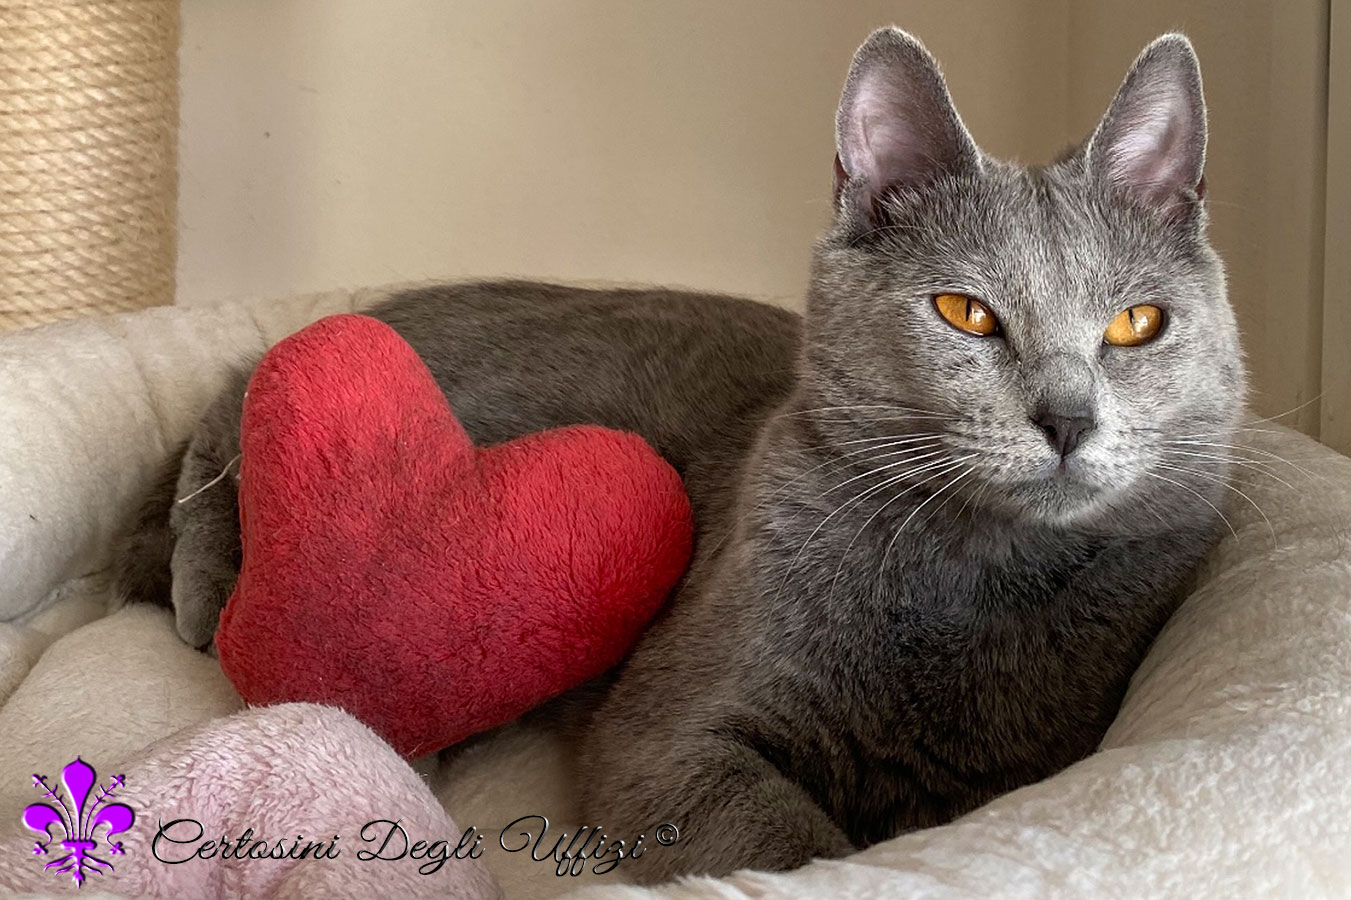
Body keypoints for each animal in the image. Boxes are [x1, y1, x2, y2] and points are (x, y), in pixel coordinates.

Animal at [115, 28, 1245, 882]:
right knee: (226, 411)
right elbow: (788, 847)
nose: (1067, 419)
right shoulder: (672, 733)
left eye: (1137, 324)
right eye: (965, 313)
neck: (972, 584)